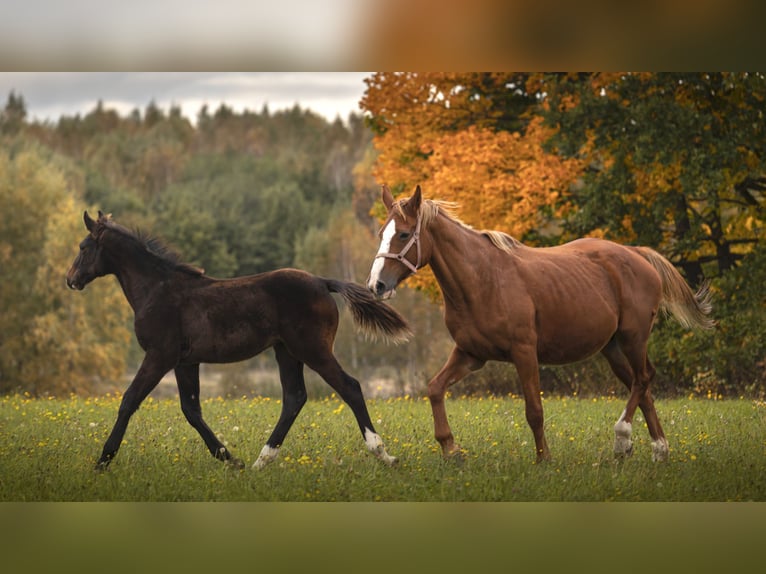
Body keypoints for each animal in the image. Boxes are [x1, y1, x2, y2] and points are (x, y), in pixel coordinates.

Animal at [69, 212, 412, 472]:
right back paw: (261, 461)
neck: (156, 289)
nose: (70, 279)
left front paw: (102, 461)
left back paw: (383, 453)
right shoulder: (185, 361)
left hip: (312, 350)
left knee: (349, 387)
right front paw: (230, 459)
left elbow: (129, 401)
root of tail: (322, 282)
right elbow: (191, 410)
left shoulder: (158, 356)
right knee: (294, 398)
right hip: (286, 352)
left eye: (84, 247)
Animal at [368, 187, 712, 466]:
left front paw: (544, 459)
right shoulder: (470, 354)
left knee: (643, 379)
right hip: (612, 348)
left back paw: (622, 438)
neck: (484, 280)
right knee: (642, 387)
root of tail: (637, 253)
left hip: (633, 338)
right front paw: (451, 449)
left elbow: (534, 410)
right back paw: (659, 450)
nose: (376, 285)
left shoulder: (524, 352)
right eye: (382, 232)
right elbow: (435, 388)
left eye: (403, 234)